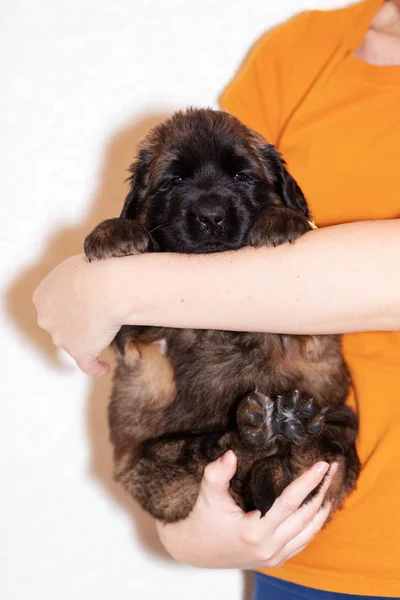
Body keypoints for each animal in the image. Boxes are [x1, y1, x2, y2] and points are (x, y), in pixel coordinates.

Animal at [83, 110, 360, 524]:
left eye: (242, 176)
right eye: (174, 181)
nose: (210, 216)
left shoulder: (309, 335)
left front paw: (281, 218)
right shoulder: (141, 340)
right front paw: (115, 231)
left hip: (342, 421)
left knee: (312, 466)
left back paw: (292, 429)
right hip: (156, 462)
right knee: (218, 451)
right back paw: (261, 426)